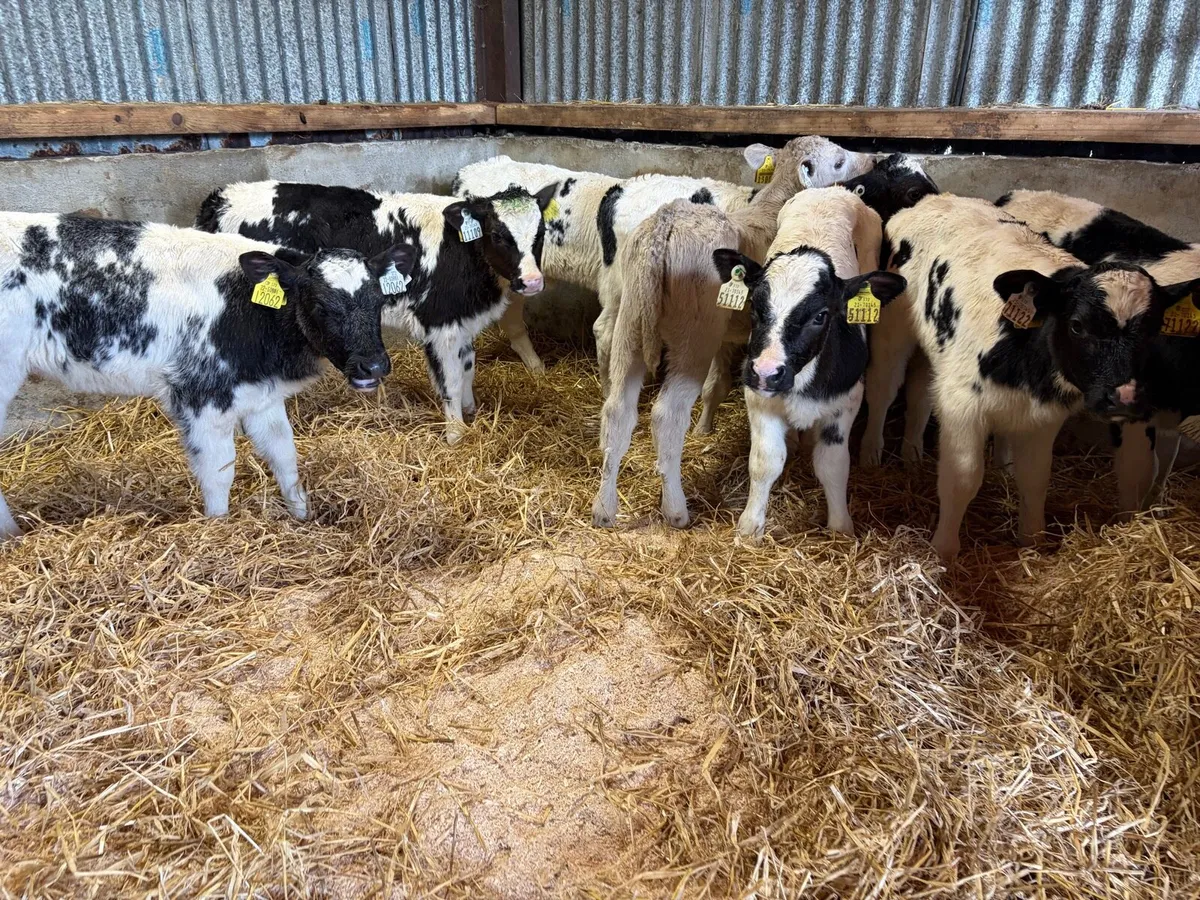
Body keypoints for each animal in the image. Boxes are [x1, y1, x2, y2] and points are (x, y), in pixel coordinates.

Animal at [0, 212, 413, 537]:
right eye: (319, 304)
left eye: (380, 300)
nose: (373, 365)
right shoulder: (202, 395)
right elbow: (218, 472)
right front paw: (218, 530)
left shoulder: (260, 395)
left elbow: (284, 455)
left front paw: (303, 518)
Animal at [197, 180, 555, 443]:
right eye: (497, 235)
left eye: (540, 234)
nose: (532, 281)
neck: (461, 252)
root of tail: (220, 198)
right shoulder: (439, 323)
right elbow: (451, 379)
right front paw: (456, 433)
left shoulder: (461, 320)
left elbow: (468, 367)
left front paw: (470, 411)